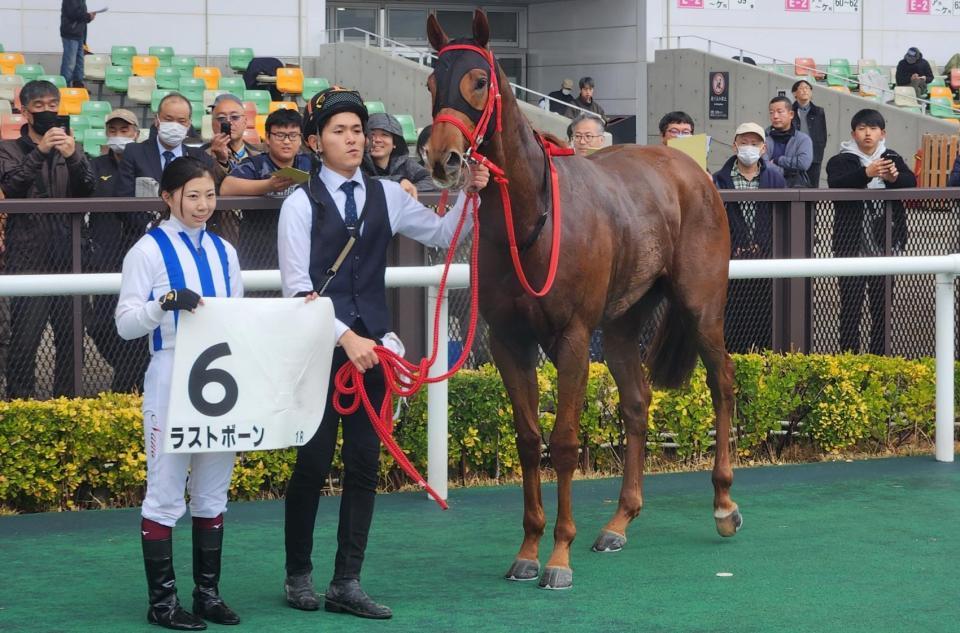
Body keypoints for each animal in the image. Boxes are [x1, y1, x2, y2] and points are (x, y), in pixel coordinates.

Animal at [424, 9, 740, 592]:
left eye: (477, 81)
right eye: (434, 83)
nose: (442, 158)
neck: (532, 222)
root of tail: (690, 169)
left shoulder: (570, 339)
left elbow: (566, 442)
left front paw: (558, 555)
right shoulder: (509, 341)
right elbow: (529, 439)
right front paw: (528, 549)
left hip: (701, 307)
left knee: (722, 381)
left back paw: (724, 503)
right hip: (619, 324)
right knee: (636, 401)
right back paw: (620, 520)